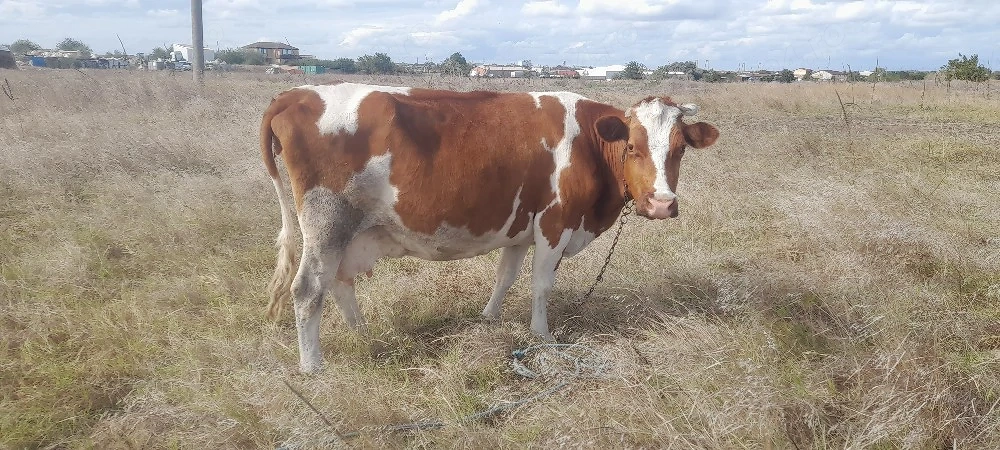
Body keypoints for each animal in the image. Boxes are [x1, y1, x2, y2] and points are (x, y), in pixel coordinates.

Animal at [260, 82, 719, 372]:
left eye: (680, 149)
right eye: (632, 147)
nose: (662, 204)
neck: (589, 144)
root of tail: (293, 94)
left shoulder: (521, 225)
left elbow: (505, 276)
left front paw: (488, 320)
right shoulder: (555, 221)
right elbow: (540, 284)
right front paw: (541, 335)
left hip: (348, 233)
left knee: (339, 283)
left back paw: (364, 335)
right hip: (327, 223)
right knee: (308, 290)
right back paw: (312, 367)